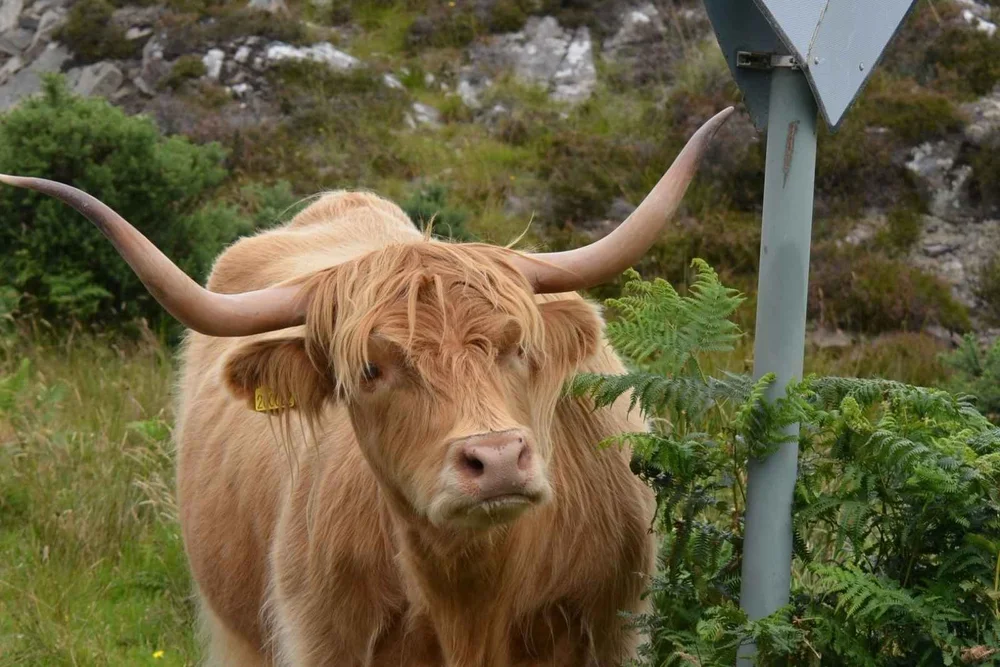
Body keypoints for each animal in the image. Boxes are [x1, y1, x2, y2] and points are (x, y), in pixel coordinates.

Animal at [1, 106, 732, 667]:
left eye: (517, 346)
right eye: (370, 370)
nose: (497, 458)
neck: (471, 595)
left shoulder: (615, 626)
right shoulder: (320, 635)